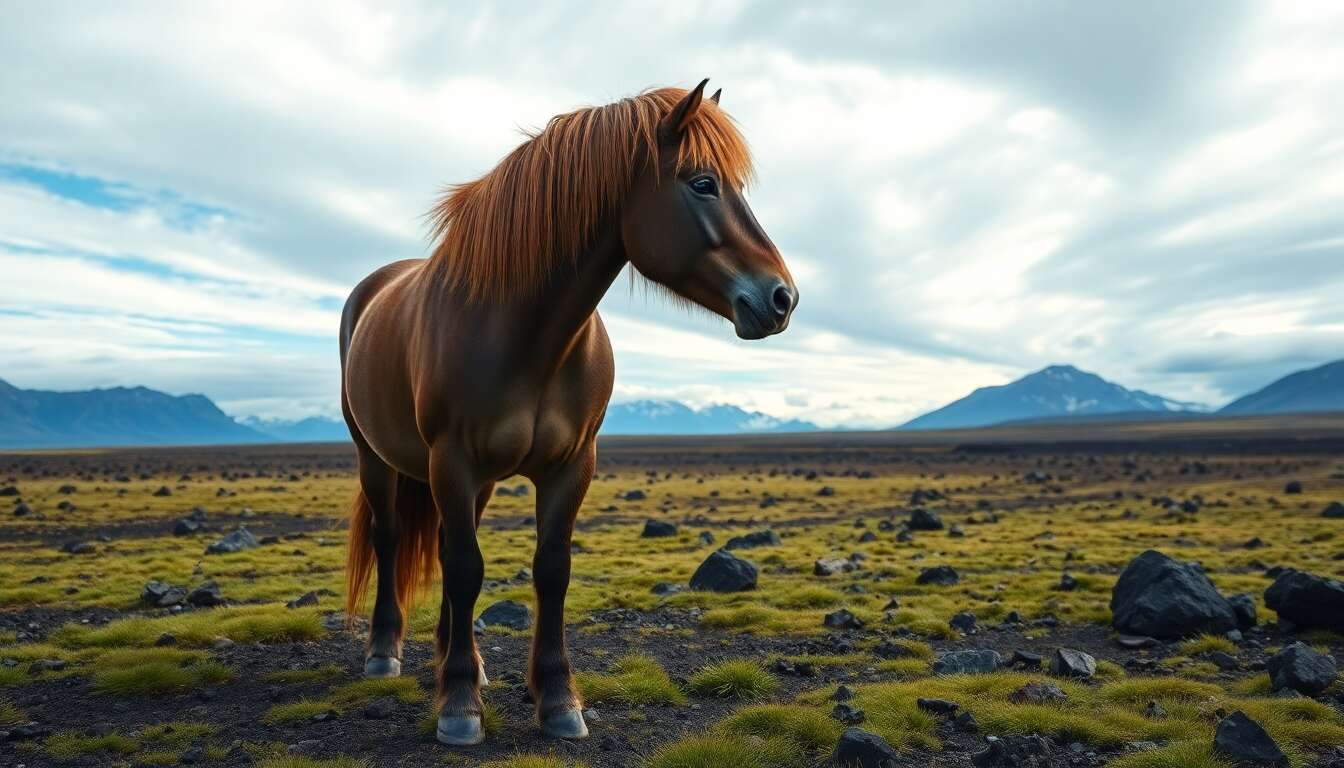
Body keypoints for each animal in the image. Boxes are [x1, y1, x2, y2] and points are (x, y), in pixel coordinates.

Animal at [339, 79, 797, 746]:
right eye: (702, 182)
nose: (783, 297)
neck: (527, 335)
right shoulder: (452, 461)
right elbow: (464, 567)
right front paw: (459, 708)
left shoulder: (571, 464)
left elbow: (549, 569)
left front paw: (555, 700)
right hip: (377, 458)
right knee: (392, 536)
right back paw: (387, 654)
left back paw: (460, 660)